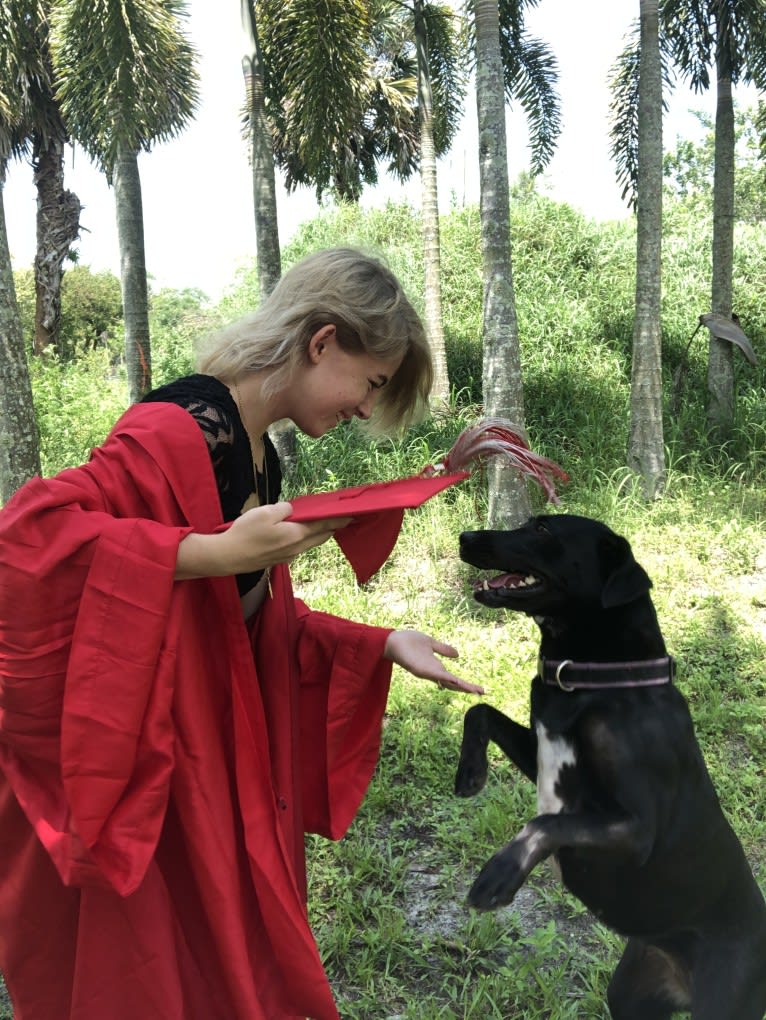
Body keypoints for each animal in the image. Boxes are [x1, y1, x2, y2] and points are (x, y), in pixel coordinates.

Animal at [454, 514, 766, 1020]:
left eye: (543, 530)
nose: (465, 537)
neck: (597, 681)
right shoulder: (541, 754)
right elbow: (478, 711)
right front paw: (470, 773)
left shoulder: (637, 829)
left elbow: (544, 823)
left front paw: (502, 871)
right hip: (631, 994)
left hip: (725, 998)